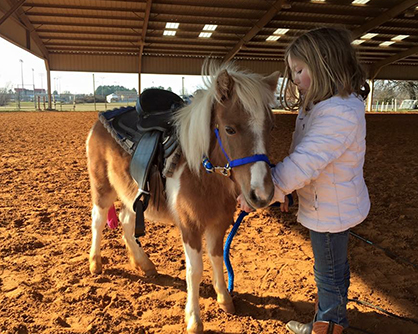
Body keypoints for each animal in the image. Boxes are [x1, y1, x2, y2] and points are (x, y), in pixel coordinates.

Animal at [86, 61, 280, 332]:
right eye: (229, 129)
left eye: (270, 127)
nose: (262, 193)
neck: (201, 172)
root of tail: (103, 119)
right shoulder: (190, 227)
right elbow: (195, 271)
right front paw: (194, 319)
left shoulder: (219, 224)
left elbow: (217, 258)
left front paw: (224, 299)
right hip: (102, 188)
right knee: (98, 221)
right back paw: (95, 263)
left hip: (131, 194)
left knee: (125, 223)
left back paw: (144, 264)